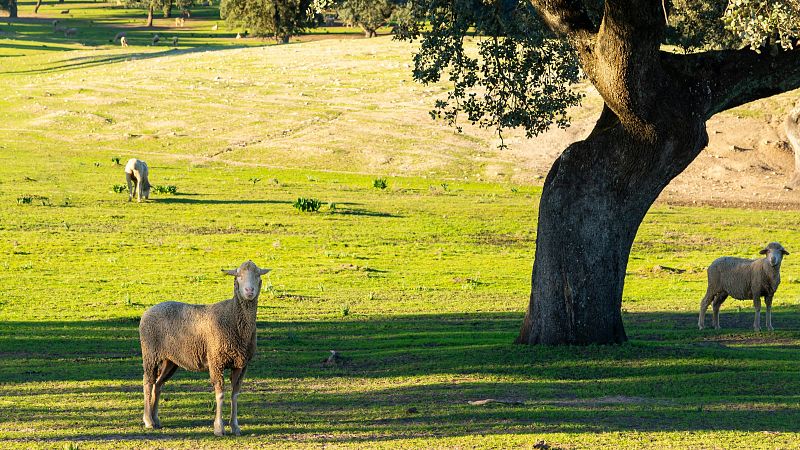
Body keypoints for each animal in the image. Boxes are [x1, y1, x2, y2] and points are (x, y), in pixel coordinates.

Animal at [139, 260, 274, 436]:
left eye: (257, 275)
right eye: (239, 276)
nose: (249, 291)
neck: (233, 317)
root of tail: (148, 311)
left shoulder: (241, 364)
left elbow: (235, 394)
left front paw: (235, 426)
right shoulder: (216, 361)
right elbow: (220, 394)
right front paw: (219, 428)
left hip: (170, 360)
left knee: (158, 384)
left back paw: (156, 420)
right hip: (150, 353)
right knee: (148, 382)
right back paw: (148, 420)